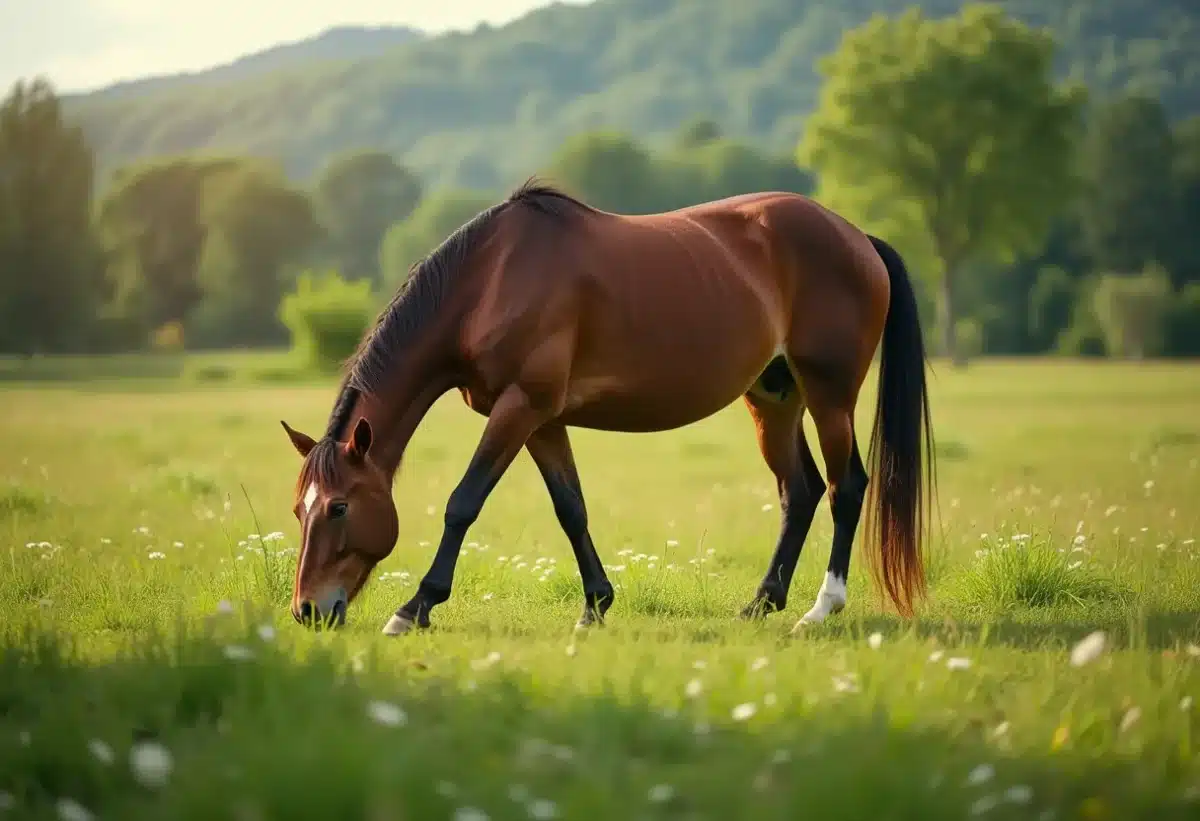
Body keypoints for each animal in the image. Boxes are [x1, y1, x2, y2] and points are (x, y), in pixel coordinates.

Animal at [280, 182, 936, 638]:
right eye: (298, 509)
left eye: (339, 507)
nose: (308, 610)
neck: (490, 281)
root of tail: (858, 238)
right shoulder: (542, 419)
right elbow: (571, 508)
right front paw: (595, 605)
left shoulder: (520, 408)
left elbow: (463, 503)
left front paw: (415, 607)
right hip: (774, 399)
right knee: (799, 492)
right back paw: (760, 603)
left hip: (830, 396)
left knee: (846, 488)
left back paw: (820, 609)